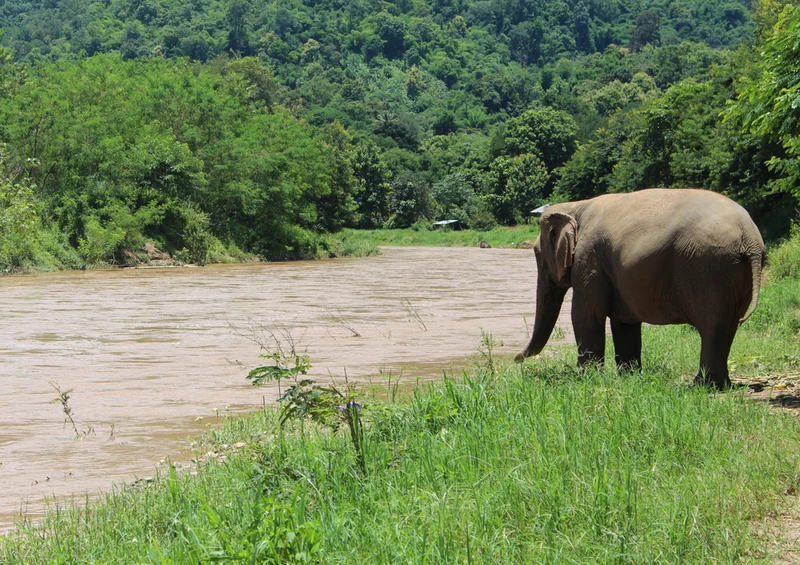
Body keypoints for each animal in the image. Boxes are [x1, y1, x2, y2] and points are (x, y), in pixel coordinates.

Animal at [515, 188, 765, 389]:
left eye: (537, 254)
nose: (516, 359)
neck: (575, 205)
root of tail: (750, 238)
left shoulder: (589, 258)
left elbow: (585, 314)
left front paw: (586, 377)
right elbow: (624, 322)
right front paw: (629, 377)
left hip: (708, 269)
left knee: (713, 327)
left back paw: (702, 386)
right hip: (734, 272)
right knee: (727, 328)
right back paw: (720, 385)